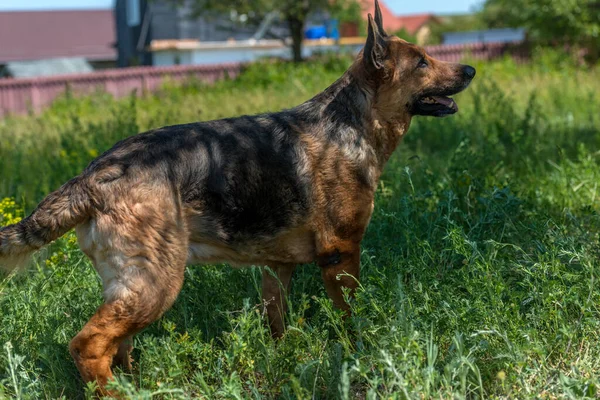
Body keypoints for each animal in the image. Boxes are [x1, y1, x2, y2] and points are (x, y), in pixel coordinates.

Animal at [2, 0, 476, 394]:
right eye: (422, 62)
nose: (471, 70)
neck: (351, 122)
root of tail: (94, 175)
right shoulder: (341, 255)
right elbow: (351, 319)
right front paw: (358, 352)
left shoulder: (277, 268)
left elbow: (277, 324)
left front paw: (284, 359)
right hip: (155, 284)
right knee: (89, 345)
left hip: (132, 289)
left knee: (118, 348)